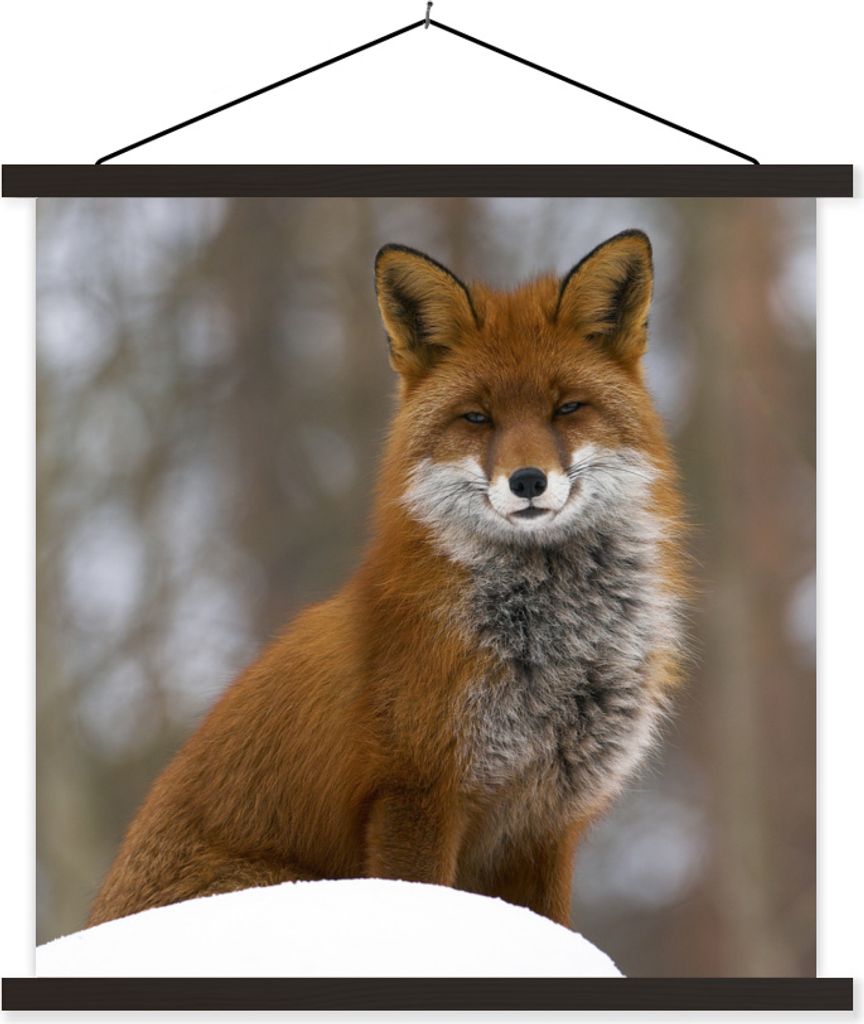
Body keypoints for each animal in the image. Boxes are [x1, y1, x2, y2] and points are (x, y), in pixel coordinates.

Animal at [88, 229, 687, 930]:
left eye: (567, 408)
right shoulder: (415, 793)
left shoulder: (545, 822)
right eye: (477, 418)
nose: (528, 481)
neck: (551, 650)